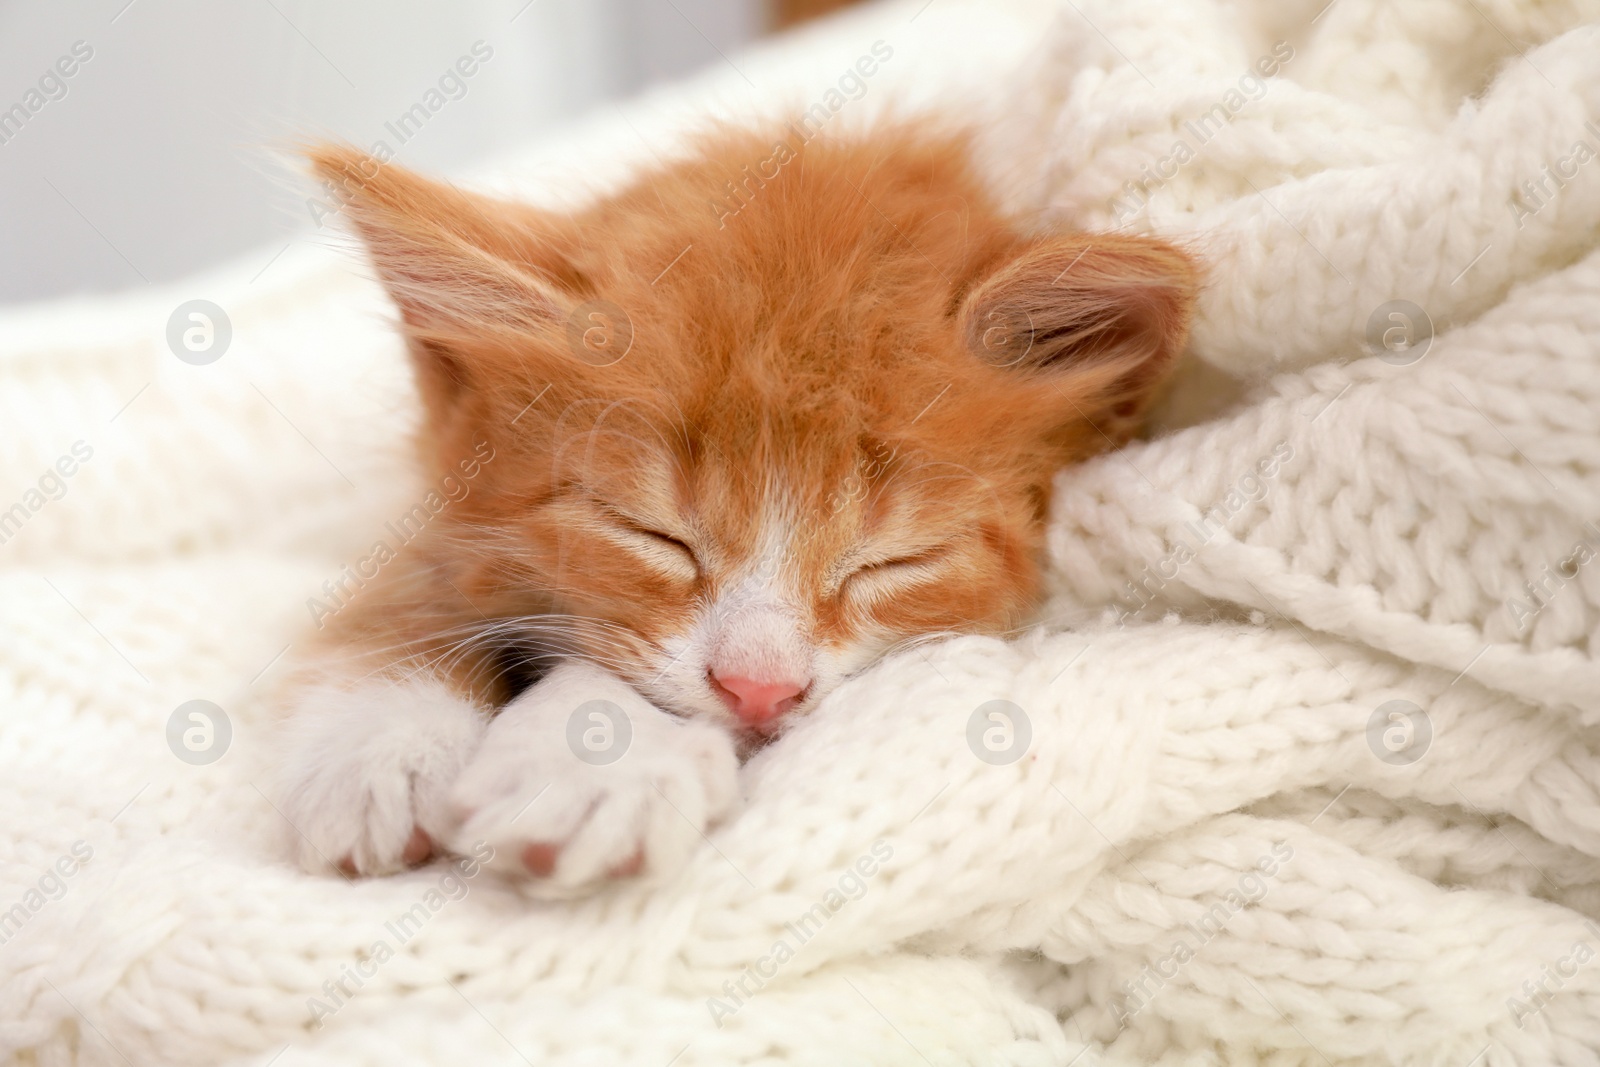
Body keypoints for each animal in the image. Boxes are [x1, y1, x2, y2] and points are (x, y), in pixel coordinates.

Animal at [275, 120, 1196, 895]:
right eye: (653, 534)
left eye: (896, 560)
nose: (761, 691)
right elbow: (415, 577)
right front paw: (379, 743)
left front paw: (593, 770)